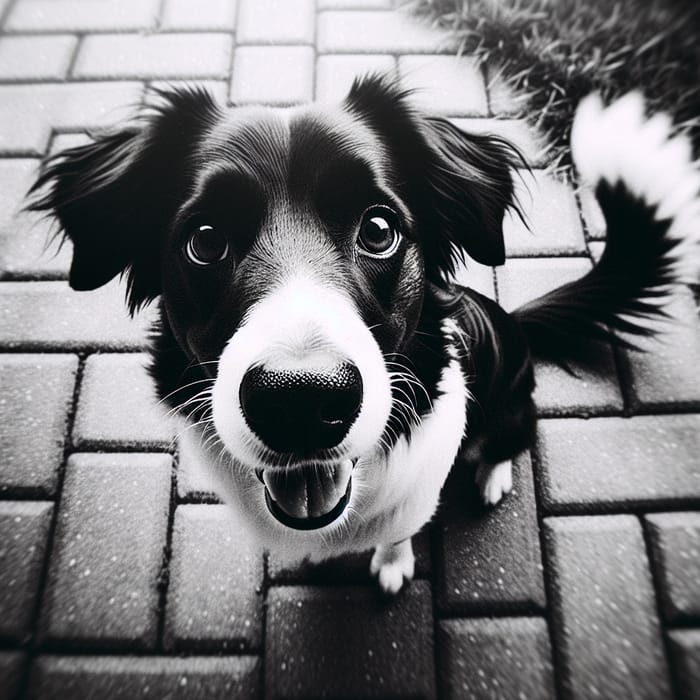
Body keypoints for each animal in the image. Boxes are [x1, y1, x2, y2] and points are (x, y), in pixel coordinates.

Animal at [31, 75, 700, 592]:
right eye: (204, 241)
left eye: (378, 230)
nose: (300, 400)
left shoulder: (415, 493)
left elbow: (400, 532)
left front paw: (393, 565)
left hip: (512, 406)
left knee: (508, 440)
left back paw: (492, 475)